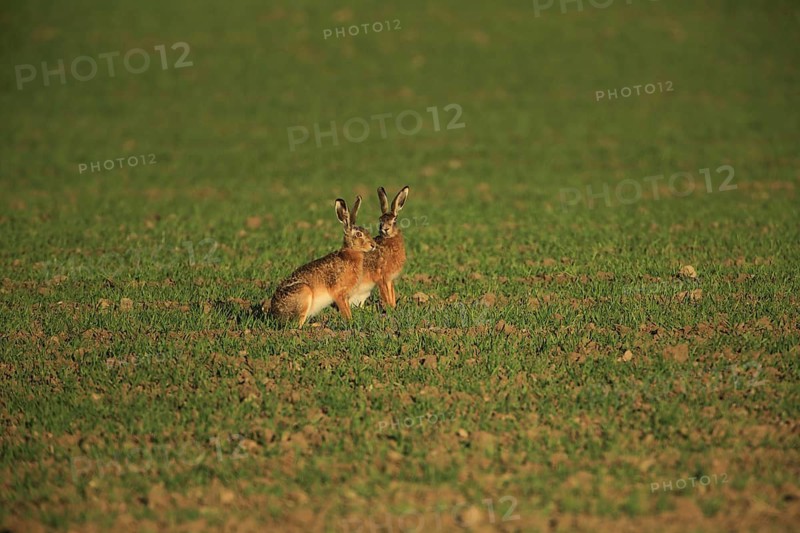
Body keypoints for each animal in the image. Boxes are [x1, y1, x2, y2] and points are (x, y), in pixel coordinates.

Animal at [268, 196, 376, 327]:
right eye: (359, 234)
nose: (373, 245)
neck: (351, 252)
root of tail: (276, 315)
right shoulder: (339, 294)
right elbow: (345, 312)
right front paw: (350, 323)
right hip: (304, 294)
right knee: (297, 325)